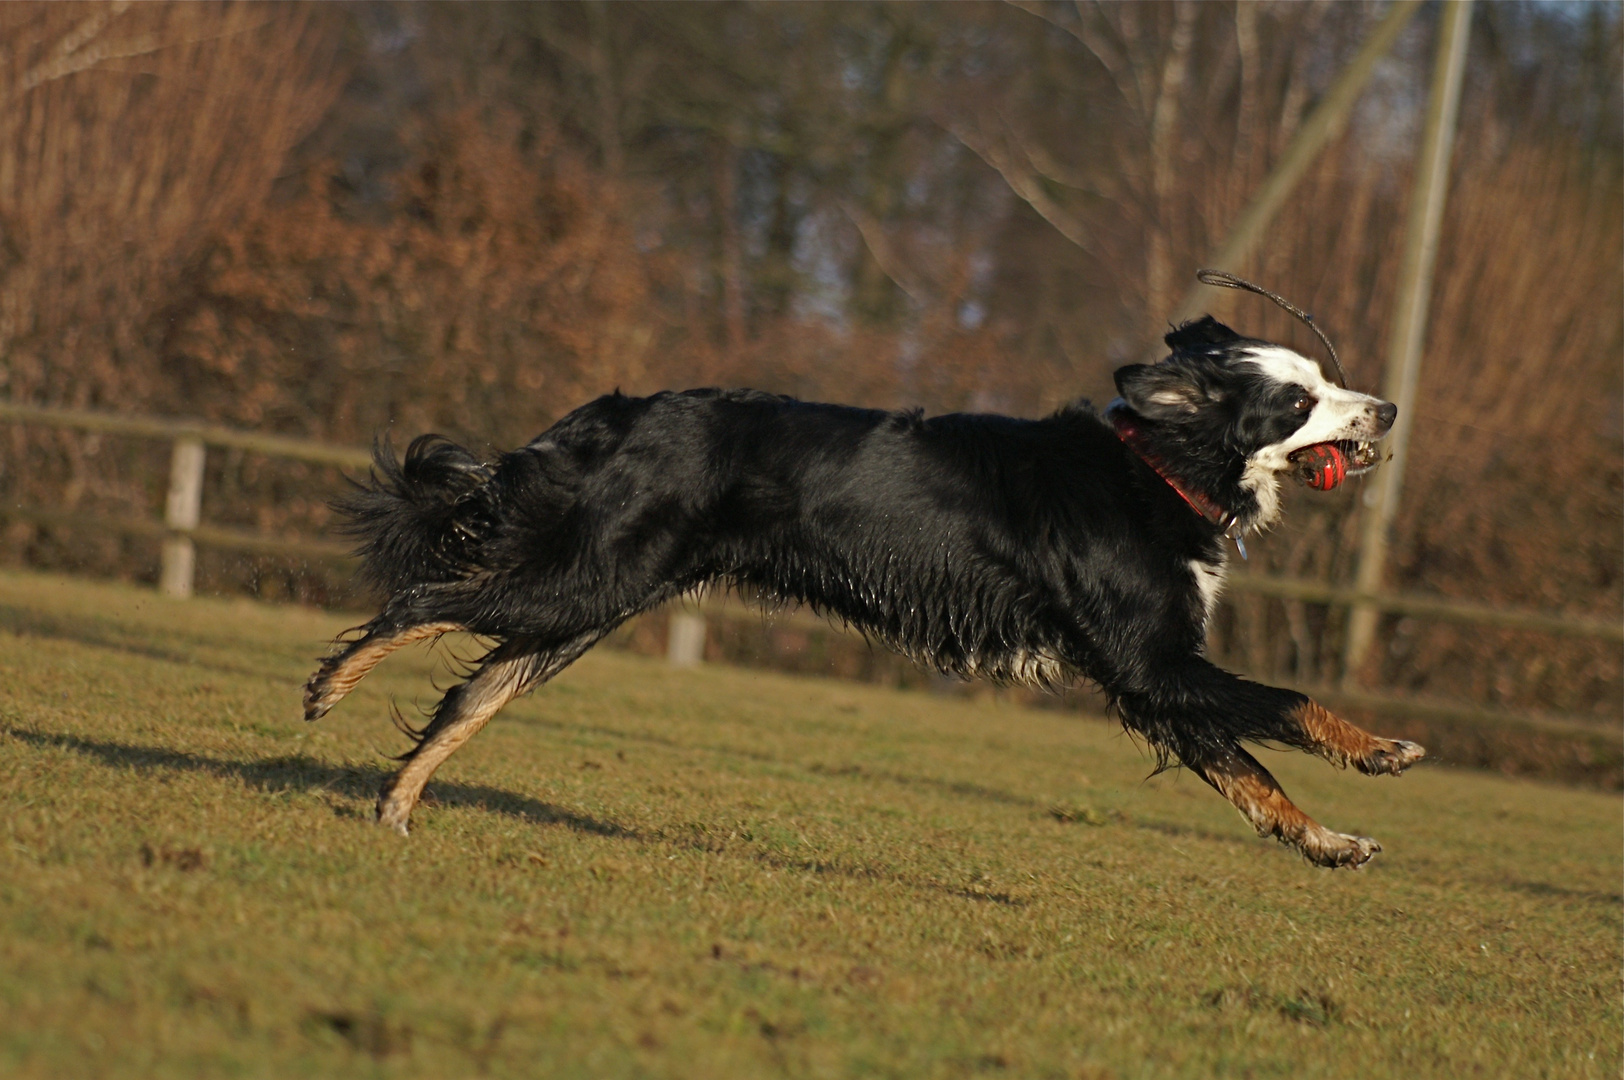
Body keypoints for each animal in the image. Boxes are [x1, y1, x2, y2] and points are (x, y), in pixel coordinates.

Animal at [305, 313, 1422, 870]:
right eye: (1298, 399)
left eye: (1326, 382)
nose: (1388, 408)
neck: (1155, 464)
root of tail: (610, 413)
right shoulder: (1153, 663)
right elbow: (1286, 706)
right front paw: (1380, 752)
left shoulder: (1155, 681)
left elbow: (1250, 775)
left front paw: (1329, 842)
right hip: (584, 583)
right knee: (422, 605)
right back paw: (332, 687)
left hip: (593, 599)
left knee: (468, 692)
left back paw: (396, 809)